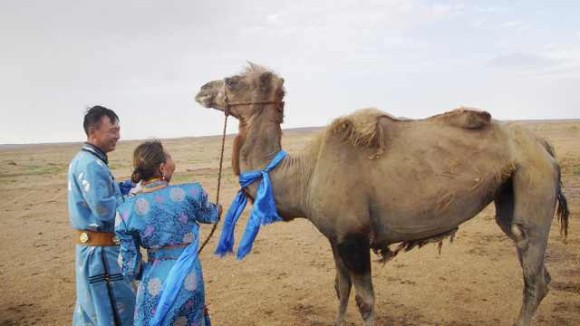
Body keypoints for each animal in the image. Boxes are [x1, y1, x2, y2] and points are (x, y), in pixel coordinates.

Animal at [196, 63, 572, 326]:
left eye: (232, 80)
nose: (201, 89)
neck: (303, 174)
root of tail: (544, 144)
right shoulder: (335, 237)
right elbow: (341, 288)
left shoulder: (355, 237)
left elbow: (366, 301)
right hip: (510, 192)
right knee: (536, 267)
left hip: (533, 180)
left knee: (533, 272)